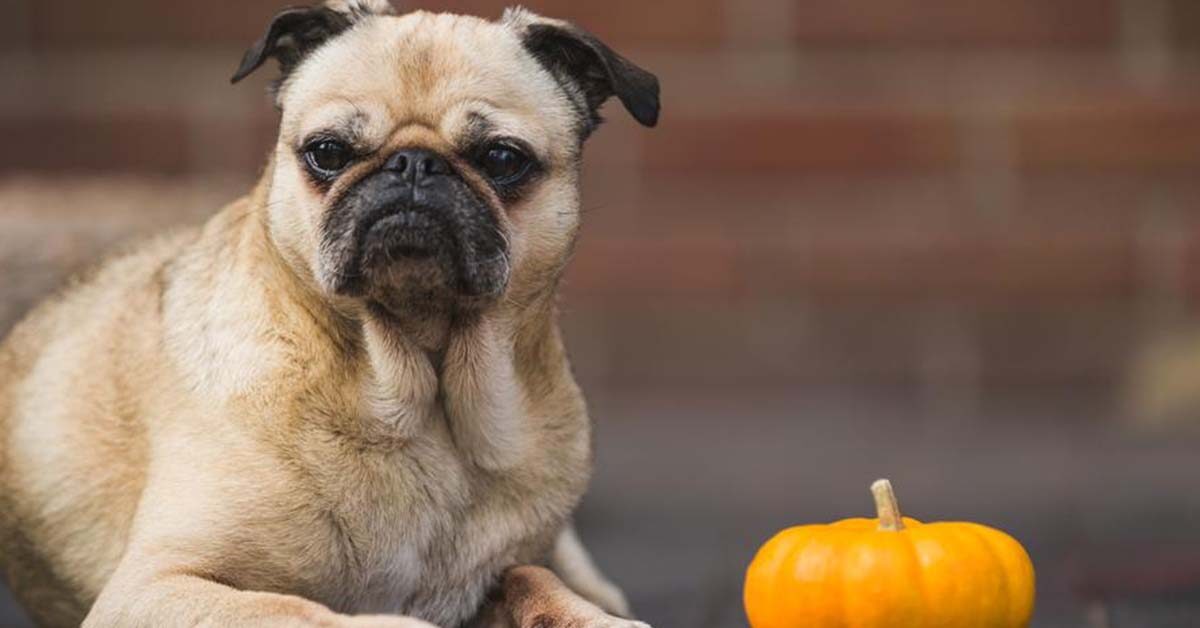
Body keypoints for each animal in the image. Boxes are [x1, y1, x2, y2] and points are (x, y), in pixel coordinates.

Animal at [0, 2, 662, 624]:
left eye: (501, 158)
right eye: (328, 153)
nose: (414, 163)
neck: (421, 397)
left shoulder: (504, 570)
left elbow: (531, 577)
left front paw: (587, 617)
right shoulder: (154, 586)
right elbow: (299, 609)